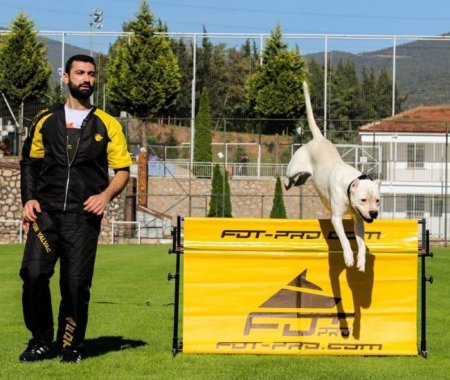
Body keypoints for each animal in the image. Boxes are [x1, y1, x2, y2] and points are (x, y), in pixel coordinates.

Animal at [284, 81, 380, 274]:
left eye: (378, 200)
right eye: (363, 199)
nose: (374, 213)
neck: (349, 184)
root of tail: (319, 138)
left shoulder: (359, 220)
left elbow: (361, 243)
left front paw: (361, 261)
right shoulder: (336, 218)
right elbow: (344, 239)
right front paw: (349, 257)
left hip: (307, 175)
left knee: (300, 179)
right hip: (293, 167)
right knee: (288, 176)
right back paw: (285, 183)